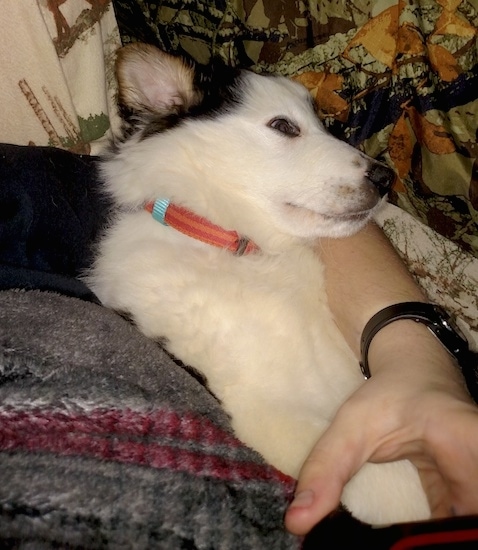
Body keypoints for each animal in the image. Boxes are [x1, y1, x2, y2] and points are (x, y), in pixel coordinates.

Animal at [88, 43, 432, 528]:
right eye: (284, 126)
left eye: (322, 123)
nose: (386, 180)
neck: (240, 248)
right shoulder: (264, 409)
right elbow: (382, 478)